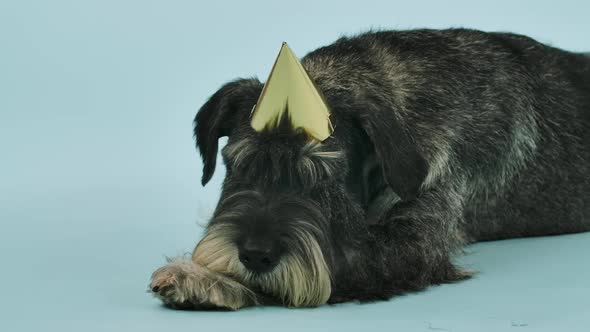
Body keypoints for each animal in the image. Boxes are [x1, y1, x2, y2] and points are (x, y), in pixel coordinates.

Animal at [149, 27, 590, 310]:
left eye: (324, 176)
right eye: (240, 164)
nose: (256, 255)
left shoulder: (410, 245)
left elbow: (330, 266)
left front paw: (203, 280)